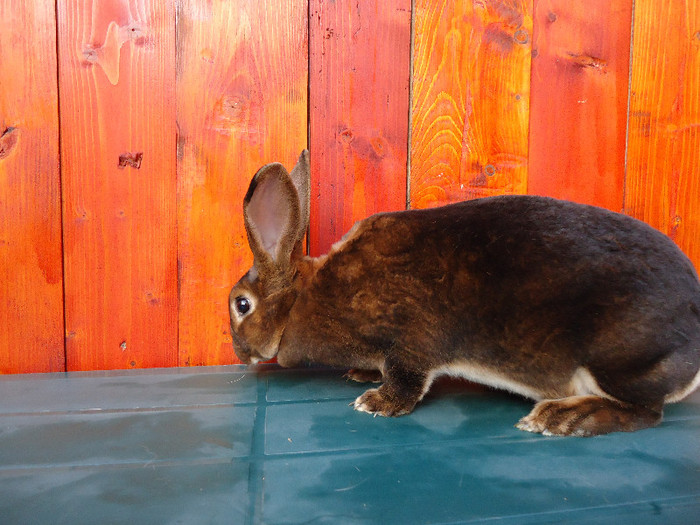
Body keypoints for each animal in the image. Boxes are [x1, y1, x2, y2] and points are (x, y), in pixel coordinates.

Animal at [230, 149, 700, 436]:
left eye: (241, 305)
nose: (240, 353)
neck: (306, 298)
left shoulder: (410, 342)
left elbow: (406, 379)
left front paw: (377, 401)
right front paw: (363, 374)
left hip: (618, 360)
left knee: (646, 412)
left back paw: (561, 419)